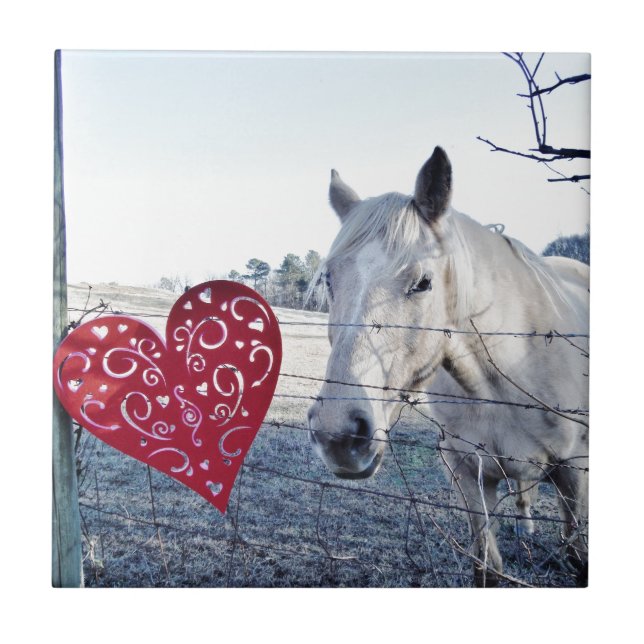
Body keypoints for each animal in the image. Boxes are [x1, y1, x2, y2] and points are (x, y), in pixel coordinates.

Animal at [307, 147, 589, 586]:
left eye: (423, 282)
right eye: (330, 280)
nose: (339, 436)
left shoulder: (574, 470)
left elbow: (578, 558)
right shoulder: (466, 471)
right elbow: (486, 567)